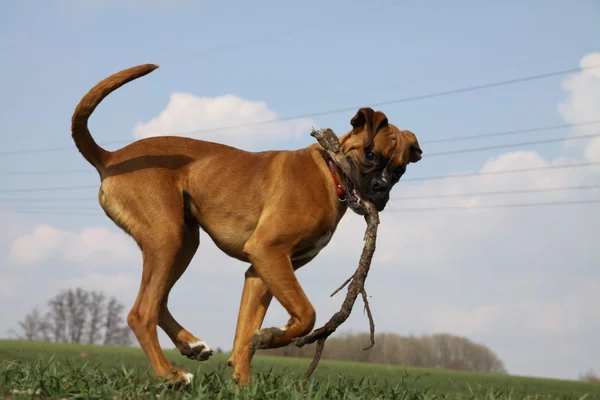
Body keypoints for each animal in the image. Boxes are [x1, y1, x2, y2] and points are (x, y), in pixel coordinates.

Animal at [70, 64, 422, 386]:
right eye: (371, 155)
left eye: (400, 170)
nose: (380, 188)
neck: (329, 171)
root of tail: (111, 158)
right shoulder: (268, 252)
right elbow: (307, 314)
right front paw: (270, 336)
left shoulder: (261, 272)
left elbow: (244, 338)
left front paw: (245, 380)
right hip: (166, 237)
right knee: (141, 313)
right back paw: (172, 375)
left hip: (184, 241)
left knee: (159, 301)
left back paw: (190, 344)